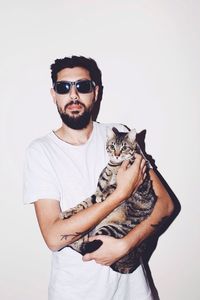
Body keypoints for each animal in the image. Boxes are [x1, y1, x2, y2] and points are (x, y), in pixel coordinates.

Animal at [60, 126, 157, 274]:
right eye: (112, 146)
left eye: (124, 148)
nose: (116, 154)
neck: (115, 166)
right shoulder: (96, 191)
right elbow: (85, 202)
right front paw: (69, 212)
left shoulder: (131, 180)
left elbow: (113, 186)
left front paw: (106, 191)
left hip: (110, 230)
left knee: (88, 247)